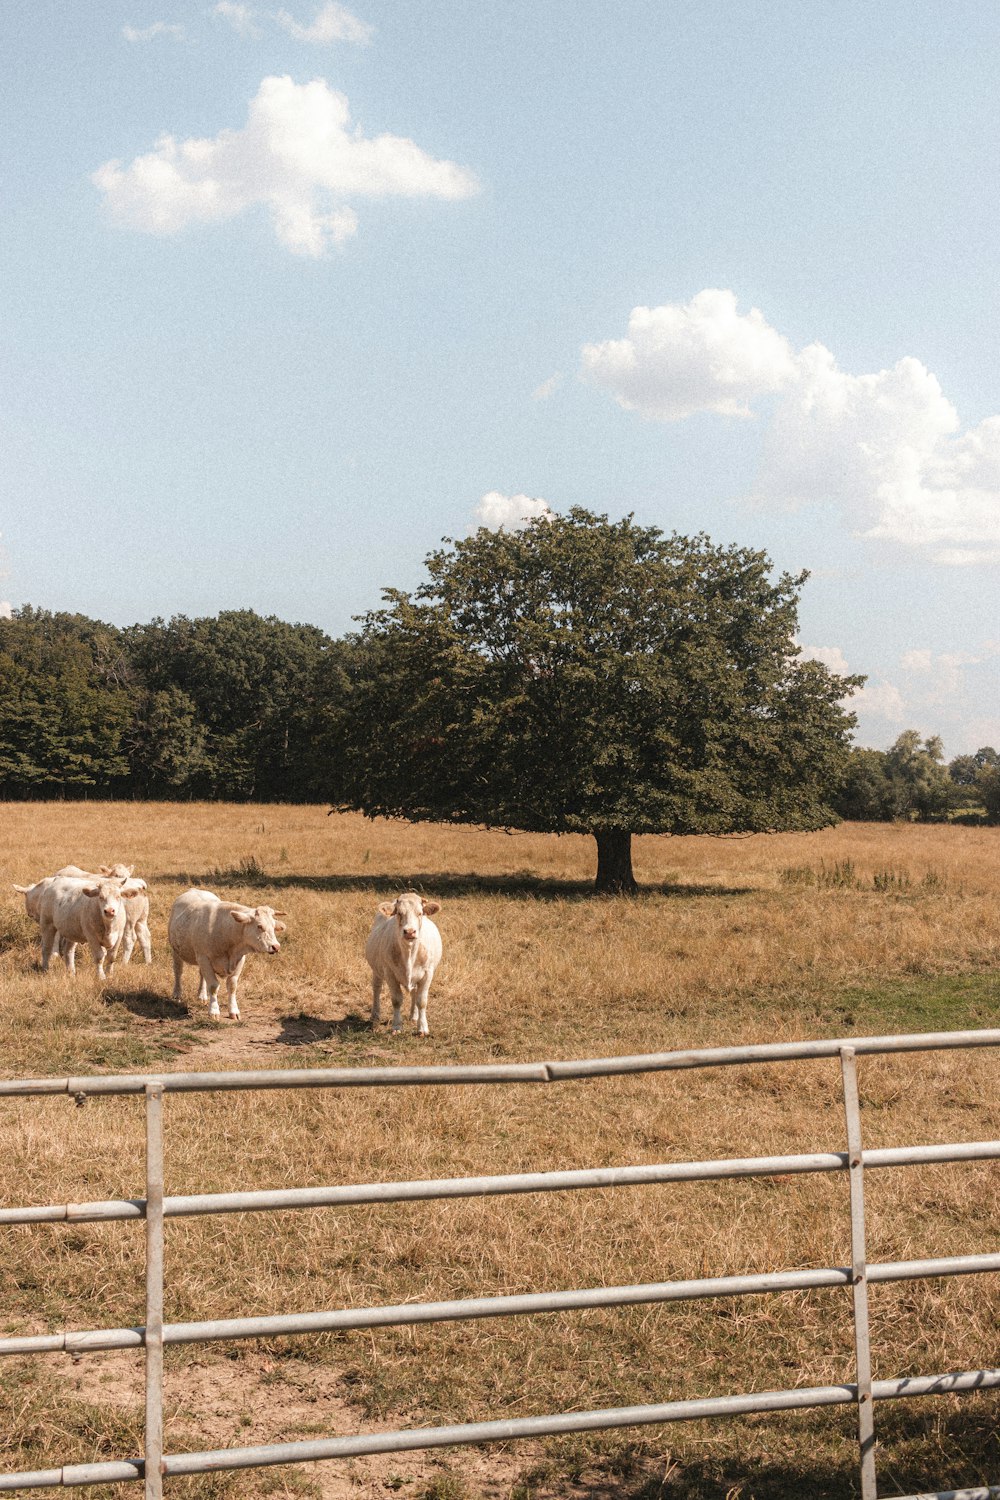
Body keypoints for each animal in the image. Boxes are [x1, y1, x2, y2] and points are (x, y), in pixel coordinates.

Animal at [167, 888, 284, 1020]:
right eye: (259, 926)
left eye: (274, 926)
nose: (276, 946)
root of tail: (194, 890)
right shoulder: (204, 958)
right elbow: (213, 986)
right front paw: (214, 1011)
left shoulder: (239, 960)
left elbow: (232, 986)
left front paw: (233, 1010)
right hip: (176, 951)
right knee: (178, 971)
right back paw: (177, 994)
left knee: (201, 975)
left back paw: (202, 995)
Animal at [364, 888, 440, 1032]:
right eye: (399, 913)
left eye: (420, 913)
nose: (410, 931)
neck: (409, 952)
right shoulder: (389, 973)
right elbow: (397, 1000)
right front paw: (397, 1025)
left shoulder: (428, 973)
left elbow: (421, 1001)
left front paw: (422, 1027)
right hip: (376, 969)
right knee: (376, 988)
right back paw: (375, 1015)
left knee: (414, 993)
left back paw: (414, 1016)